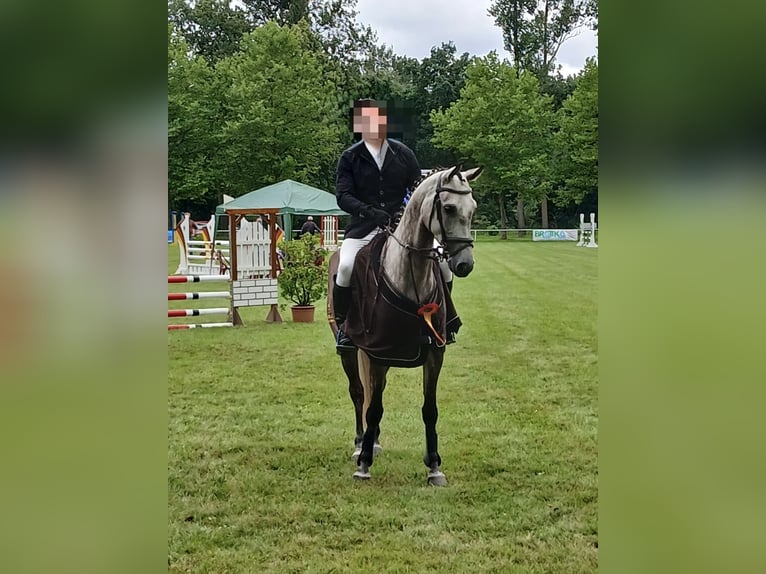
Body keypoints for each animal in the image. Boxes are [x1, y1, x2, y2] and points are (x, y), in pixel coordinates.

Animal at [327, 165, 482, 485]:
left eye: (472, 208)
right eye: (448, 208)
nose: (464, 265)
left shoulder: (434, 355)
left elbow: (429, 409)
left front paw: (434, 466)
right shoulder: (378, 354)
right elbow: (373, 408)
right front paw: (364, 465)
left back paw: (373, 441)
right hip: (350, 350)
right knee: (359, 393)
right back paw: (361, 444)